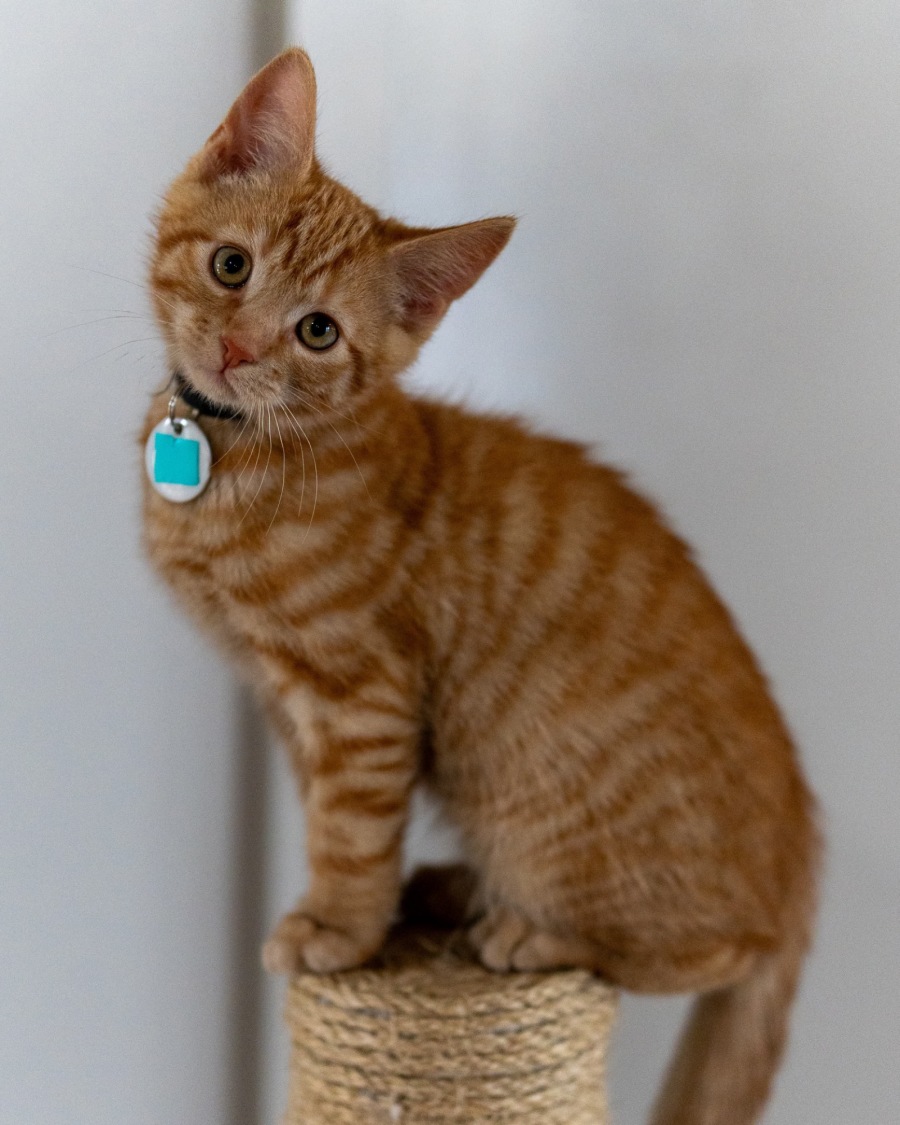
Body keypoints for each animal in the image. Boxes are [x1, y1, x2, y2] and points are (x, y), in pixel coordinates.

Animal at [141, 48, 821, 1125]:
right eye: (232, 266)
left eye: (319, 332)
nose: (238, 349)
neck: (246, 460)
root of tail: (799, 848)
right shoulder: (286, 703)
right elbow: (334, 815)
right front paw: (359, 913)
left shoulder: (361, 694)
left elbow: (352, 826)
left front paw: (339, 928)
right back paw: (455, 892)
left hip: (535, 805)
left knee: (723, 950)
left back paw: (536, 931)